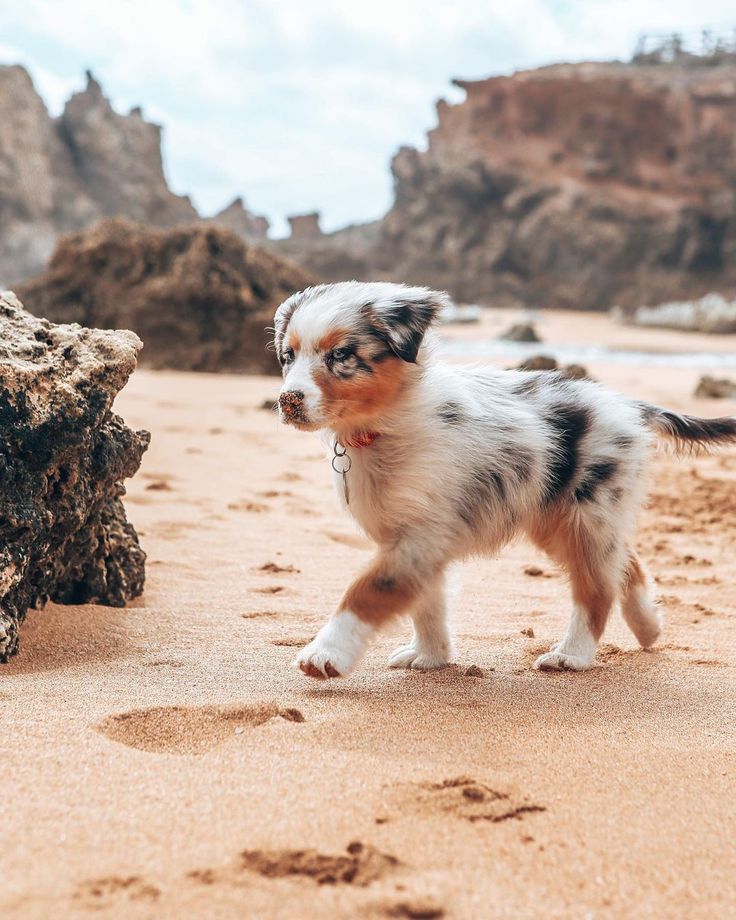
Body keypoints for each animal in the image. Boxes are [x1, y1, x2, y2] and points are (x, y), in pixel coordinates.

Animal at [274, 284, 732, 680]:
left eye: (341, 355)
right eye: (288, 356)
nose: (287, 400)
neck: (383, 427)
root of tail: (627, 404)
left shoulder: (421, 535)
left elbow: (368, 590)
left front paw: (325, 654)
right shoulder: (413, 539)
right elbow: (427, 603)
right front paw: (431, 656)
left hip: (586, 513)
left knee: (598, 587)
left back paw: (572, 656)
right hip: (557, 517)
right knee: (626, 560)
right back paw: (648, 626)